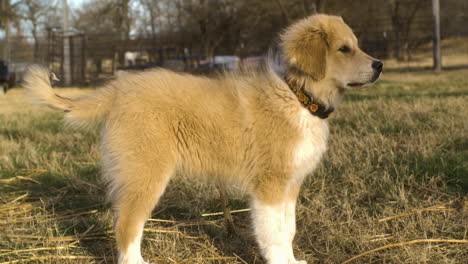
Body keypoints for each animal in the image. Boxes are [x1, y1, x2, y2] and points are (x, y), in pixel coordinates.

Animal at [24, 13, 380, 264]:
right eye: (344, 49)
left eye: (357, 45)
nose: (379, 65)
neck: (298, 97)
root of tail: (118, 89)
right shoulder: (269, 185)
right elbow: (273, 233)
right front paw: (280, 260)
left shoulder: (289, 185)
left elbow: (287, 229)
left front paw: (292, 261)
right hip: (146, 174)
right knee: (126, 225)